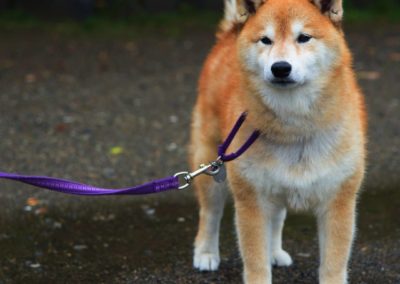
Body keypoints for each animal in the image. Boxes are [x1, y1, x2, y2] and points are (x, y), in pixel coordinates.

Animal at [189, 0, 368, 282]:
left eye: (304, 37)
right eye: (266, 40)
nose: (280, 67)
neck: (294, 128)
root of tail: (229, 35)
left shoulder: (338, 200)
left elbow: (333, 264)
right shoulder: (251, 201)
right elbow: (255, 262)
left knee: (276, 220)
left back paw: (274, 252)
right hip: (212, 165)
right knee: (210, 213)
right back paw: (206, 253)